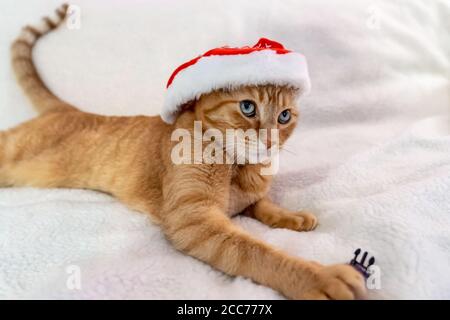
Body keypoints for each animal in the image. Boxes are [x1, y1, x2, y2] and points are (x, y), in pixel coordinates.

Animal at [3, 3, 368, 298]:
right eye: (248, 107)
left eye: (284, 117)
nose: (268, 141)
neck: (239, 169)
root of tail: (67, 109)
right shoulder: (195, 222)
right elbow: (256, 252)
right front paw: (319, 277)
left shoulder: (244, 202)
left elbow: (265, 206)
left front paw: (292, 216)